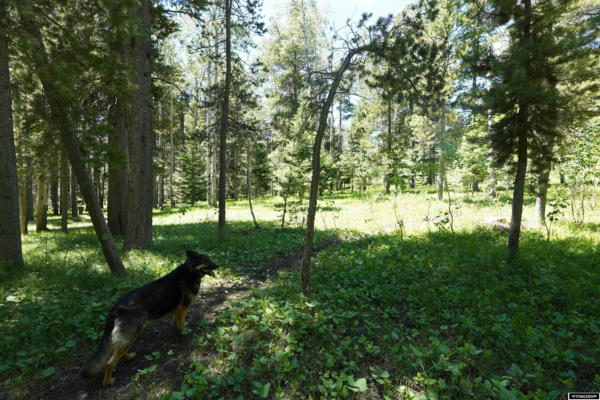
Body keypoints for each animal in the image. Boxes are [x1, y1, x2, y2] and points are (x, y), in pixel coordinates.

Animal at [81, 252, 218, 386]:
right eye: (205, 260)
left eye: (210, 258)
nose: (218, 265)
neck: (189, 273)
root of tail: (115, 310)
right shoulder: (182, 308)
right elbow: (181, 324)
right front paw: (184, 333)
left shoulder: (177, 311)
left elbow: (177, 323)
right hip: (131, 335)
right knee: (109, 363)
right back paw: (107, 382)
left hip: (128, 337)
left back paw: (128, 357)